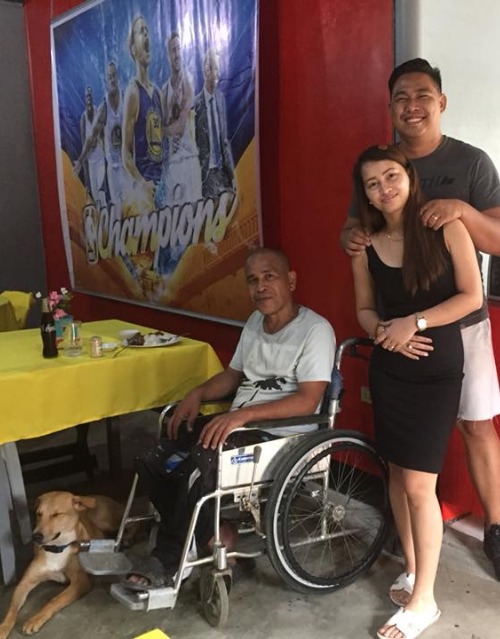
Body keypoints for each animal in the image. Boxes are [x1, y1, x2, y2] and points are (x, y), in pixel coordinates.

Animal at [0, 491, 125, 639]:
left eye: (56, 514)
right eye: (39, 514)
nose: (35, 536)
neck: (57, 548)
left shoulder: (81, 582)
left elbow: (54, 600)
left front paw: (34, 619)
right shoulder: (25, 582)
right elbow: (12, 608)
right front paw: (3, 627)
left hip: (107, 522)